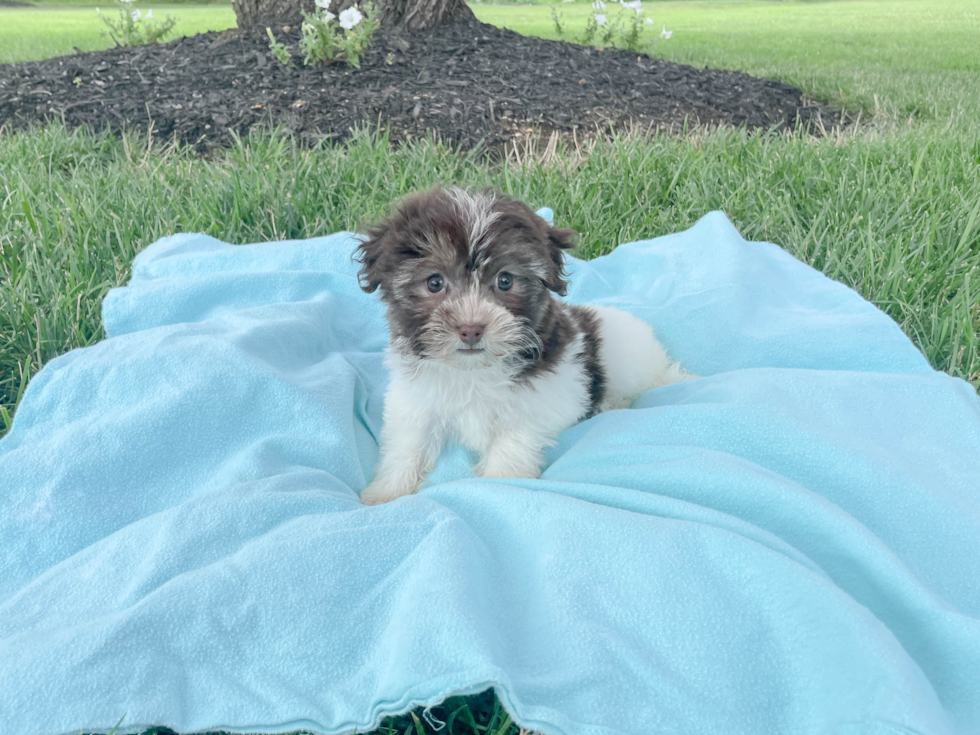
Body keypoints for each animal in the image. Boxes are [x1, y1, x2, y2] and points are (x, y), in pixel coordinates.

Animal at [354, 187, 688, 506]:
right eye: (434, 282)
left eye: (505, 281)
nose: (471, 329)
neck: (473, 371)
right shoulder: (415, 400)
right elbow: (408, 441)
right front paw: (387, 490)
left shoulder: (537, 400)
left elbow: (512, 440)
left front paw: (500, 482)